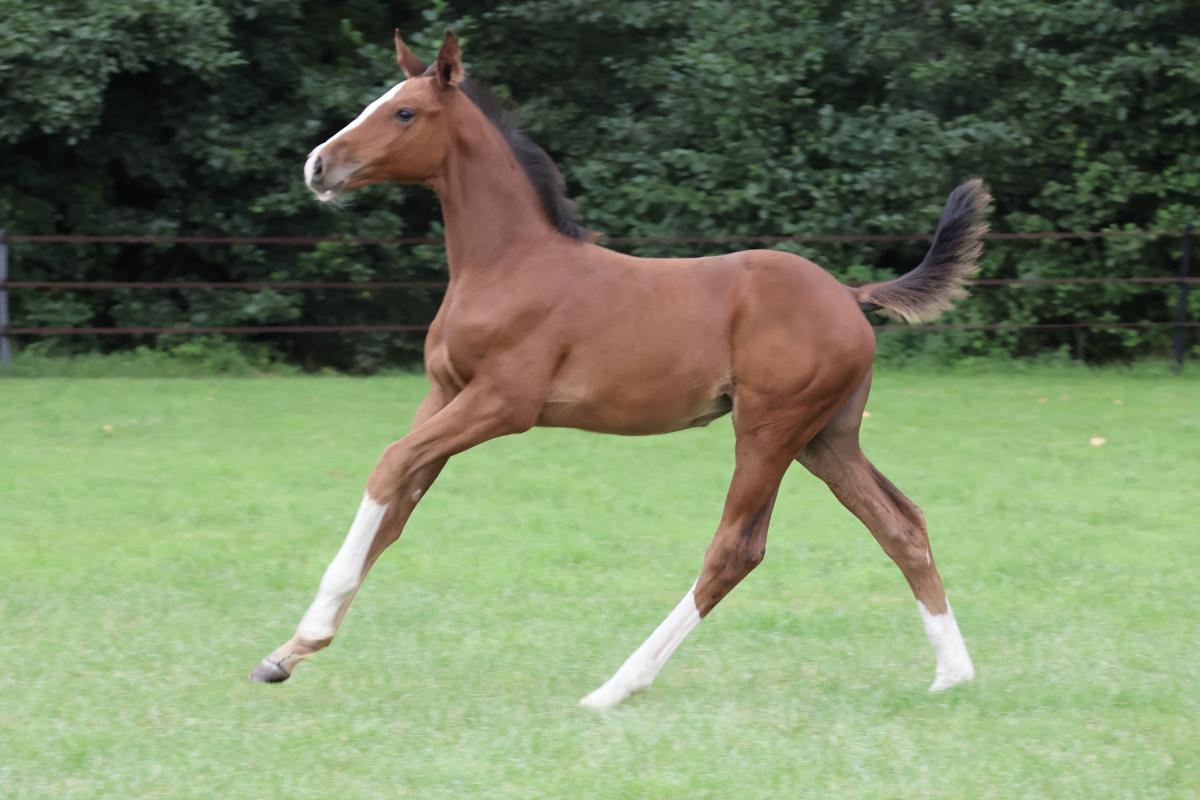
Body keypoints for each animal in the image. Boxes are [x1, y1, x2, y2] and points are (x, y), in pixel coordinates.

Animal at [250, 30, 986, 708]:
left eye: (404, 111)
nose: (319, 165)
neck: (507, 264)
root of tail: (851, 295)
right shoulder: (444, 394)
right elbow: (398, 505)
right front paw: (286, 654)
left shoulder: (503, 404)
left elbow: (389, 465)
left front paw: (303, 636)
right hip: (824, 438)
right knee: (900, 523)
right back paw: (953, 674)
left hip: (770, 428)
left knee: (735, 549)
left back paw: (616, 687)